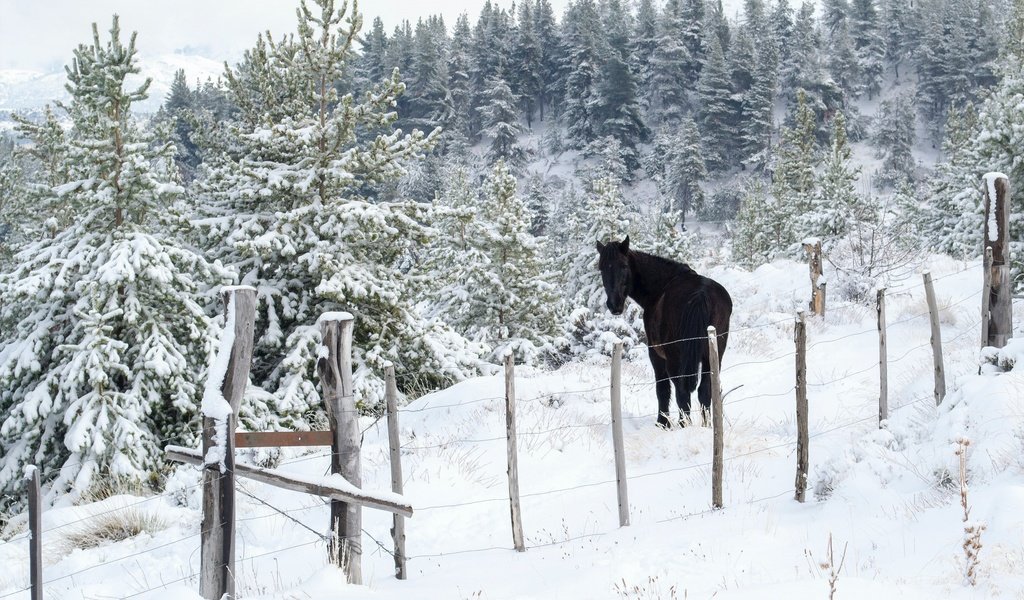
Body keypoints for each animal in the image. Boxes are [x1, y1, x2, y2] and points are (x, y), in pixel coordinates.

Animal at [598, 235, 733, 427]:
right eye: (601, 268)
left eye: (623, 266)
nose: (614, 304)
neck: (661, 285)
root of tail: (700, 294)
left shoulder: (656, 354)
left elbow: (662, 390)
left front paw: (662, 423)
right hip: (713, 355)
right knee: (705, 390)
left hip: (675, 358)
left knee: (682, 392)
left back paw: (684, 425)